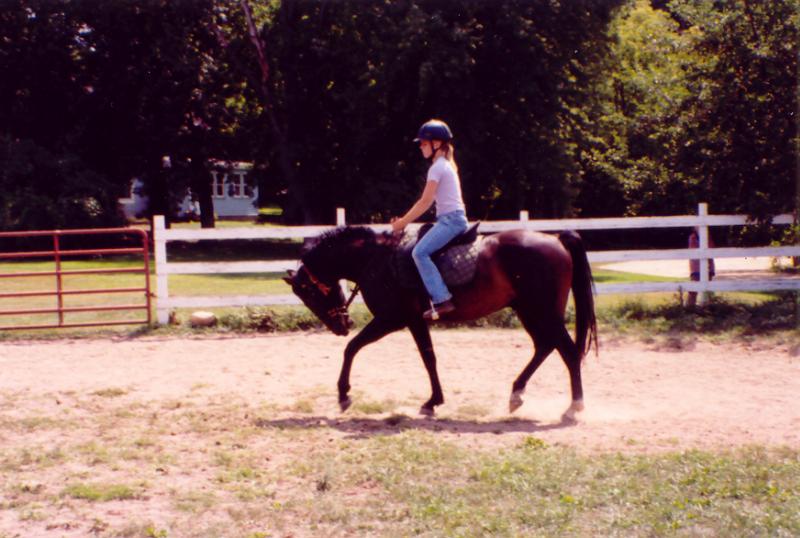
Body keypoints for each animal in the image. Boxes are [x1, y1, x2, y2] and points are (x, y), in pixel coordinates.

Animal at [283, 225, 598, 420]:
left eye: (308, 293)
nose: (340, 326)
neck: (375, 260)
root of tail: (556, 239)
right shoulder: (413, 321)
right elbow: (429, 357)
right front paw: (433, 401)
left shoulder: (392, 319)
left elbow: (353, 348)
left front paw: (343, 395)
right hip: (530, 312)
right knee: (545, 346)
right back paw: (517, 393)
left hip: (543, 312)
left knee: (568, 352)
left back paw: (574, 407)